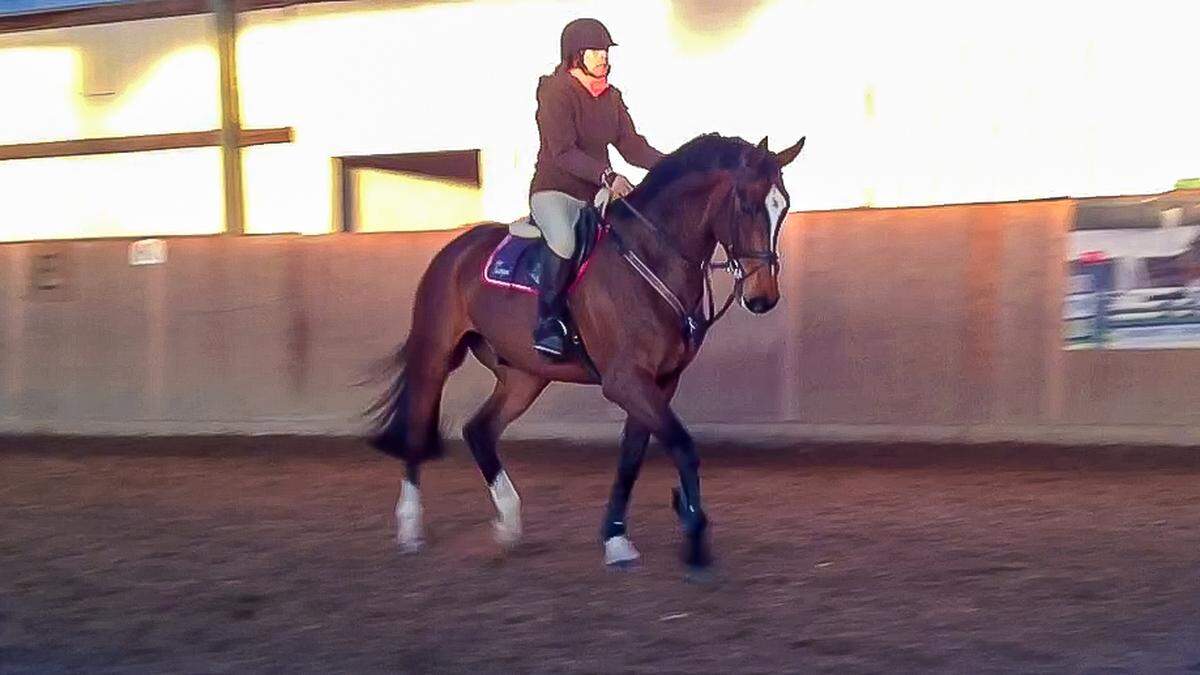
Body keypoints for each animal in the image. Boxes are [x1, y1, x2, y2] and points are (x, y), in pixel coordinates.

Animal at [367, 132, 806, 570]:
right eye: (747, 206)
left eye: (783, 206)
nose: (763, 298)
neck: (652, 257)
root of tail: (454, 249)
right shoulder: (625, 381)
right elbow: (682, 445)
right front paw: (694, 537)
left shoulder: (660, 382)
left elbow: (631, 457)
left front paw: (616, 537)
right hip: (435, 355)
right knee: (418, 427)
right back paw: (410, 529)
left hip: (525, 376)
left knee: (480, 430)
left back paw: (508, 525)